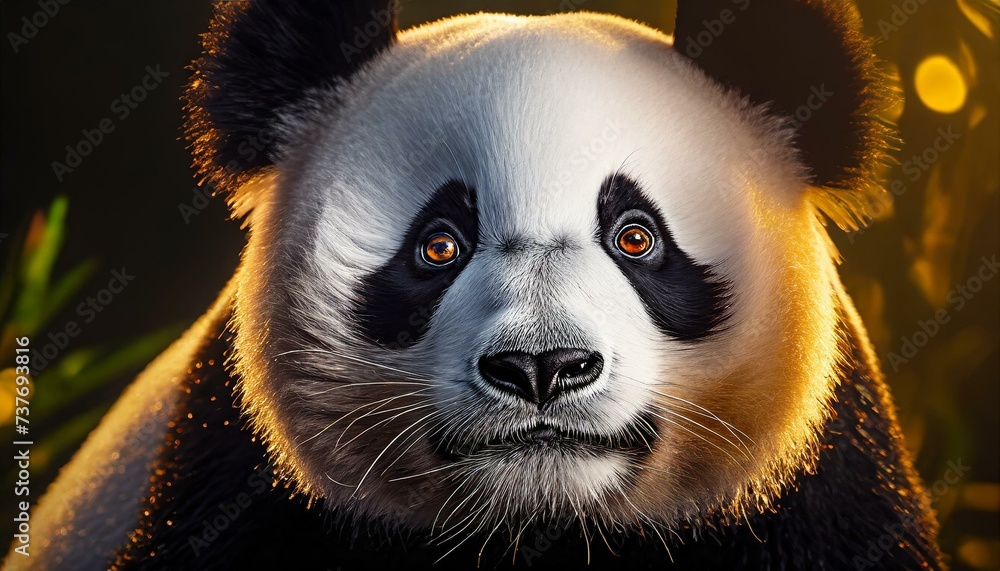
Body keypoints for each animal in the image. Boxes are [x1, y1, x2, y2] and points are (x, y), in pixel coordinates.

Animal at [14, 1, 944, 569]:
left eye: (636, 237)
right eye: (439, 246)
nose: (542, 368)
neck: (538, 525)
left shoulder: (824, 488)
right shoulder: (235, 480)